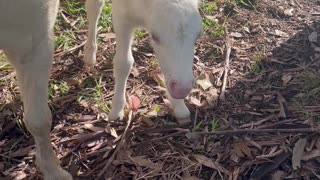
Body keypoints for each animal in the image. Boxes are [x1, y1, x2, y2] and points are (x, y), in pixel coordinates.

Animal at [0, 0, 200, 179]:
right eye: (156, 36)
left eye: (197, 36)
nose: (182, 90)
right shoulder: (121, 16)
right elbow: (124, 63)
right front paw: (116, 111)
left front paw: (179, 107)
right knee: (94, 7)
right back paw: (90, 53)